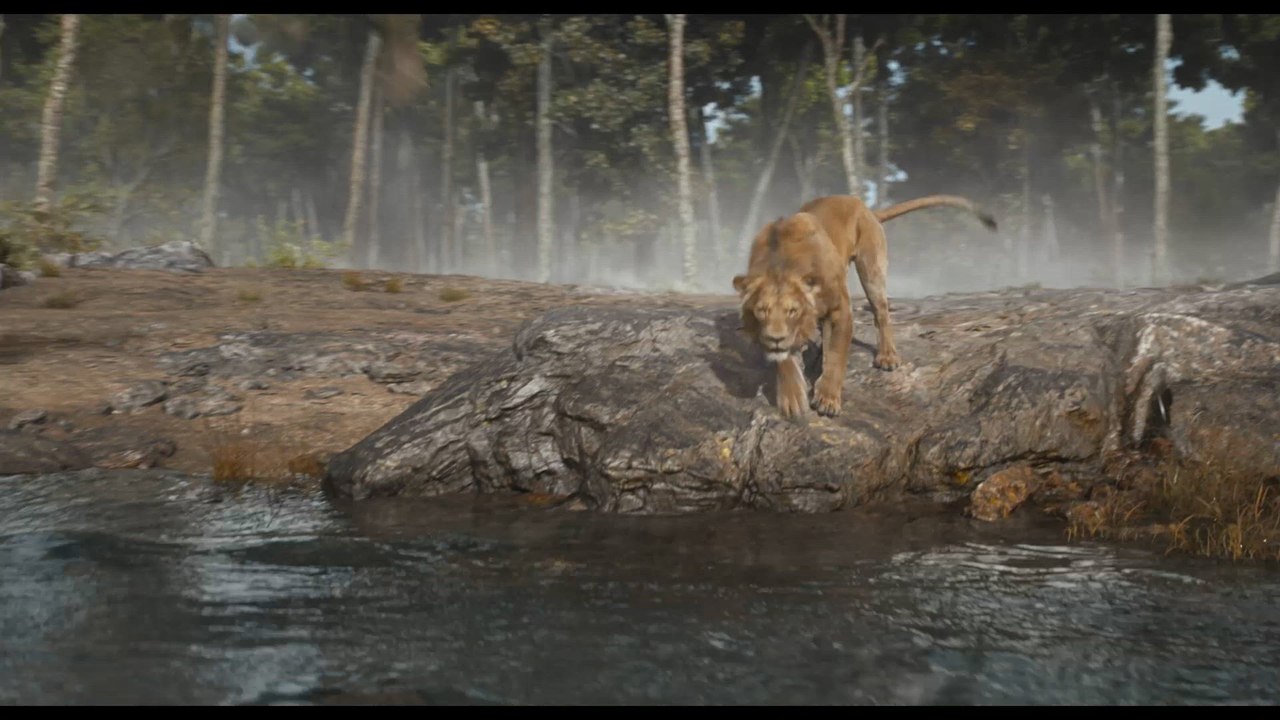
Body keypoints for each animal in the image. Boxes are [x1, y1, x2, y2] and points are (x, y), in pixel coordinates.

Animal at [732, 194, 997, 419]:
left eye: (792, 311)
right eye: (762, 311)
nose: (775, 338)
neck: (783, 265)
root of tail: (863, 206)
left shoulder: (841, 311)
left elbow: (837, 356)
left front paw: (828, 399)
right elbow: (785, 359)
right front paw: (792, 396)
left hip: (872, 269)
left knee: (882, 313)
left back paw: (887, 356)